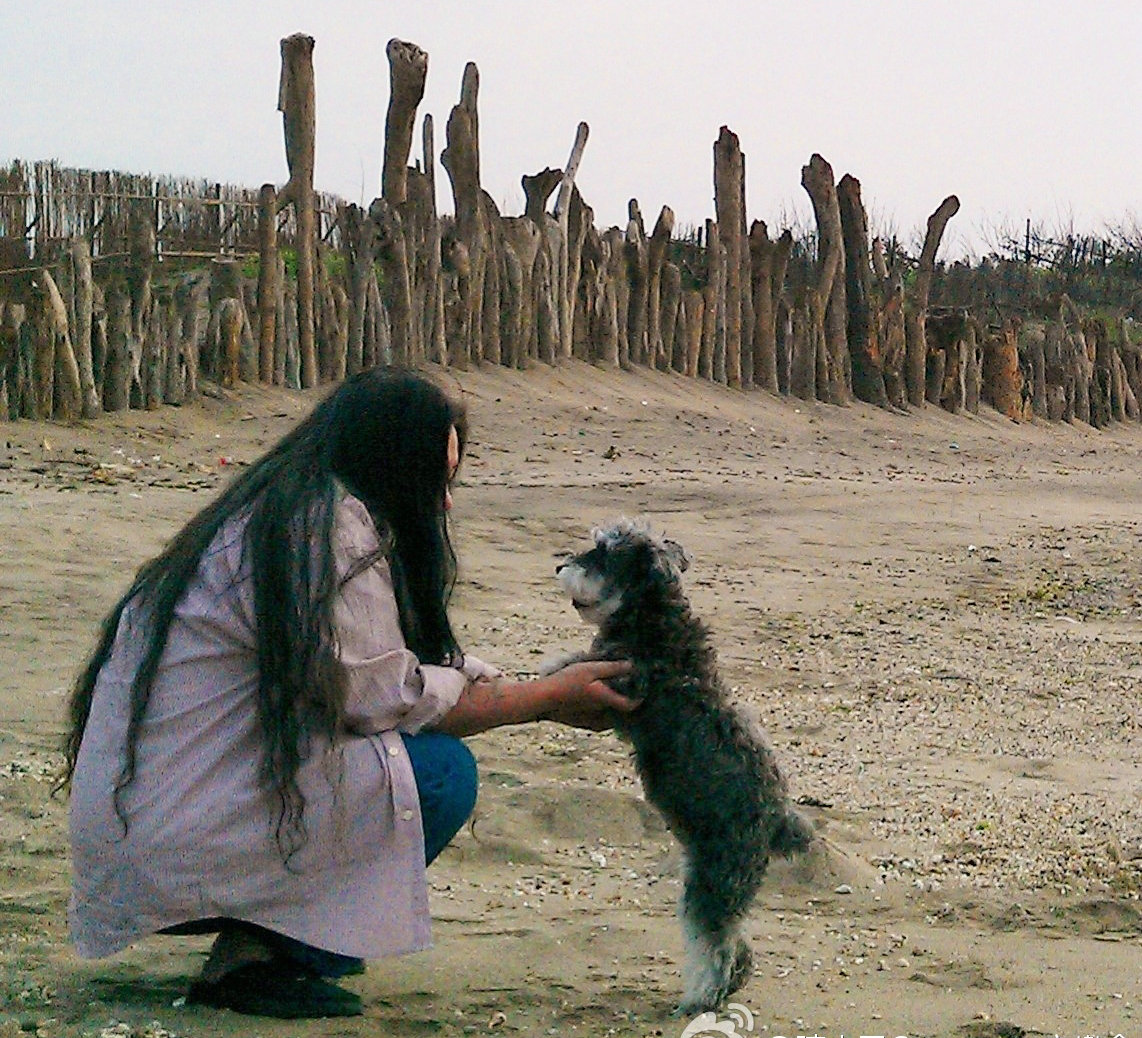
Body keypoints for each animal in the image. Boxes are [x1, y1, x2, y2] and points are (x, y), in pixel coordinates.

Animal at [545, 516, 808, 1014]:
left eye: (603, 553)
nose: (559, 566)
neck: (655, 619)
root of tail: (776, 821)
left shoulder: (624, 682)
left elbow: (580, 661)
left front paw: (550, 666)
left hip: (714, 880)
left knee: (717, 944)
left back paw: (701, 997)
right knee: (738, 946)